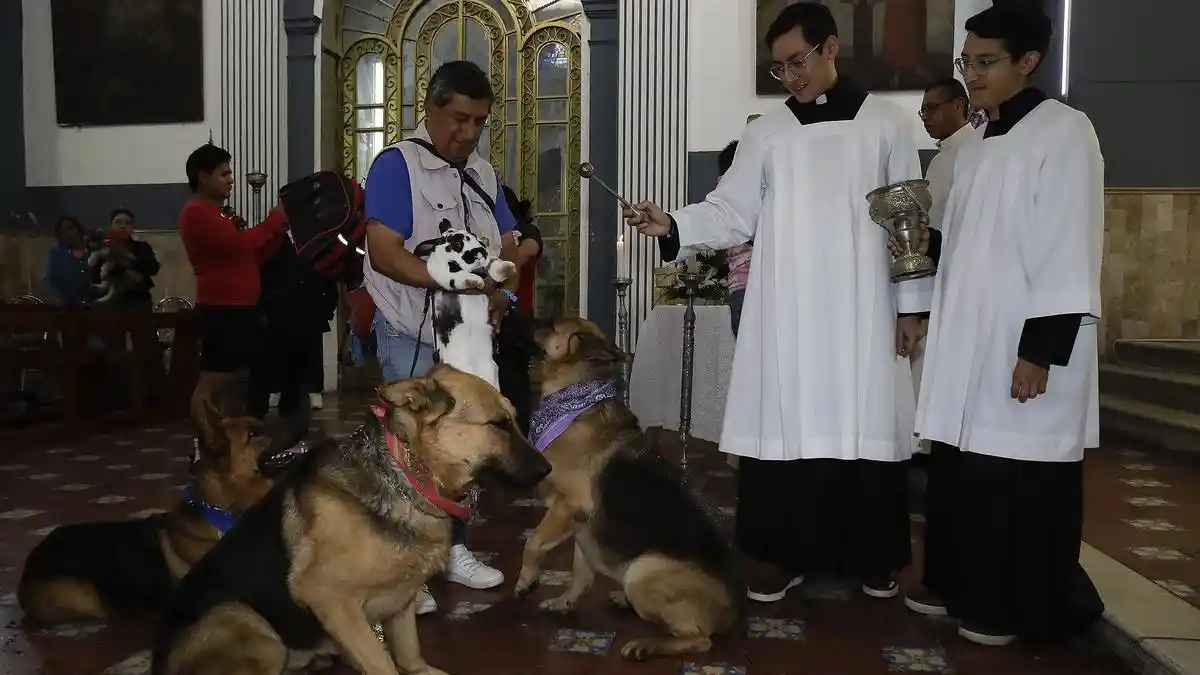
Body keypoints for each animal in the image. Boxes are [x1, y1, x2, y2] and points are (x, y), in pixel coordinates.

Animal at [146, 362, 552, 672]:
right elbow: (384, 664)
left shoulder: (399, 603)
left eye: (512, 420)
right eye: (499, 425)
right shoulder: (331, 602)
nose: (549, 469)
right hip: (248, 624)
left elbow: (411, 659)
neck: (407, 474)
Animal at [412, 220, 516, 389]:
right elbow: (457, 277)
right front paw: (476, 282)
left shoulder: (489, 261)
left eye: (473, 235)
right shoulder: (441, 271)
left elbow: (494, 263)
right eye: (457, 242)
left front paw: (508, 269)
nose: (479, 251)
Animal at [511, 314, 734, 658]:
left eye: (551, 324)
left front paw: (526, 580)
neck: (575, 399)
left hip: (641, 571)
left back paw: (646, 646)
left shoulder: (570, 506)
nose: (510, 313)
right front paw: (565, 601)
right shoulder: (580, 526)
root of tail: (732, 611)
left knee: (699, 639)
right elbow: (581, 573)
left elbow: (533, 542)